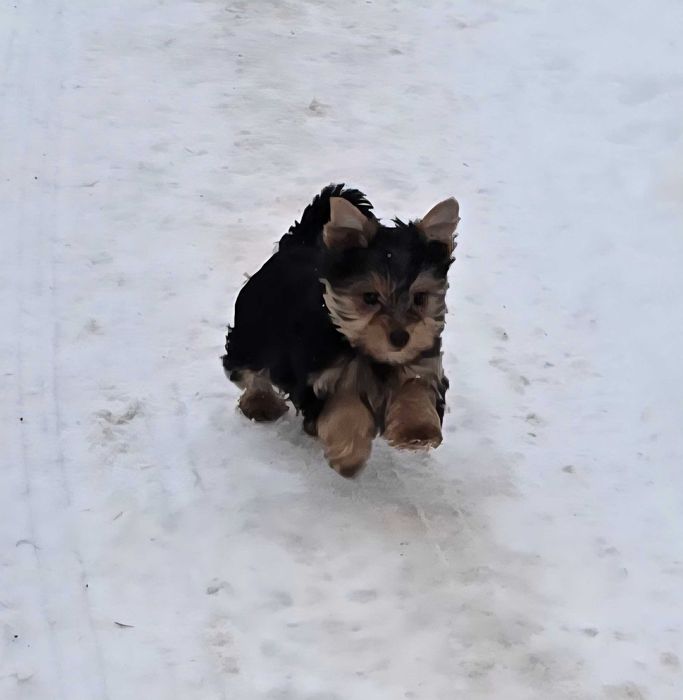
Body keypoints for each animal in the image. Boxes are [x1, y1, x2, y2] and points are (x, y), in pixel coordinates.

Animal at [223, 184, 460, 477]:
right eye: (369, 297)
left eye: (420, 298)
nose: (400, 337)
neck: (364, 349)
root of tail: (296, 246)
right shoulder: (321, 378)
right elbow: (344, 408)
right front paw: (348, 455)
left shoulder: (421, 361)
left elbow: (415, 386)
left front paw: (417, 430)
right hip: (252, 331)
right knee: (247, 369)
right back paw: (260, 403)